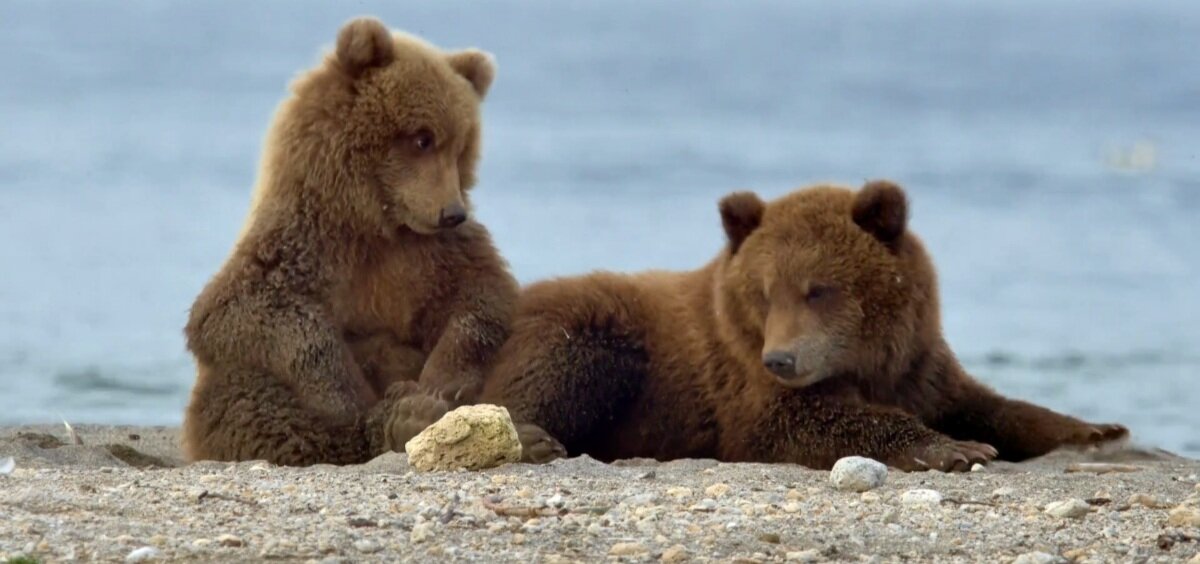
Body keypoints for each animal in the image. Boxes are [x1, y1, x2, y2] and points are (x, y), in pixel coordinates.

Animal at [182, 17, 516, 468]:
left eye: (461, 145)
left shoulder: (435, 255)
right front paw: (350, 397)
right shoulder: (303, 244)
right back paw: (395, 420)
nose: (452, 212)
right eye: (422, 138)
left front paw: (443, 384)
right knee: (249, 399)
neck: (375, 224)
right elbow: (247, 310)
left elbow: (484, 299)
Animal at [482, 181, 1128, 470]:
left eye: (820, 288)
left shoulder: (918, 366)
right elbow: (801, 420)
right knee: (553, 367)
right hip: (597, 330)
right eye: (765, 292)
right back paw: (533, 437)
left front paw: (1097, 430)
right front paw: (949, 449)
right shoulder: (741, 379)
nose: (782, 359)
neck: (864, 363)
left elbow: (985, 402)